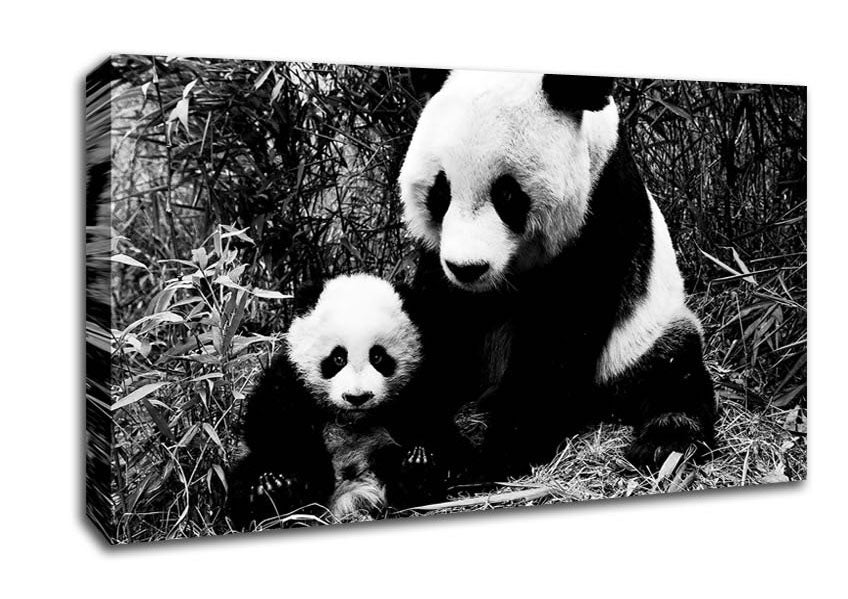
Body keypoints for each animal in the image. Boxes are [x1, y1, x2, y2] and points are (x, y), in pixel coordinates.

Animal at [228, 274, 435, 529]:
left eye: (378, 356)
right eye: (338, 358)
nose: (357, 397)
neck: (352, 419)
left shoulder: (415, 384)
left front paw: (417, 461)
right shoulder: (291, 378)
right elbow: (271, 427)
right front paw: (293, 481)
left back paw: (416, 467)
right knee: (244, 478)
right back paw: (270, 490)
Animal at [397, 71, 716, 478]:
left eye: (508, 196)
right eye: (441, 192)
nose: (468, 268)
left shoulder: (600, 213)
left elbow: (558, 337)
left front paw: (498, 452)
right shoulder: (438, 261)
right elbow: (441, 321)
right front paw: (430, 442)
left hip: (643, 333)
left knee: (674, 372)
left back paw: (664, 442)